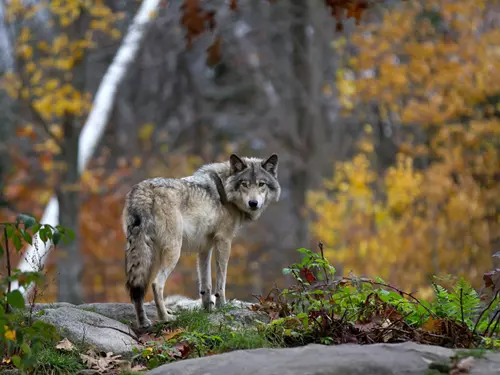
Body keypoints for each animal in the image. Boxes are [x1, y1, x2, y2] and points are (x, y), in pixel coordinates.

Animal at [120, 153, 278, 328]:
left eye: (261, 184)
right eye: (245, 184)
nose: (253, 203)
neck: (225, 189)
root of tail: (142, 191)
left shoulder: (204, 248)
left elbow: (205, 284)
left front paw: (207, 309)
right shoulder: (224, 240)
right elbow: (221, 280)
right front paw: (222, 306)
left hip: (143, 254)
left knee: (137, 290)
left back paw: (144, 322)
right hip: (173, 251)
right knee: (156, 284)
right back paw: (165, 318)